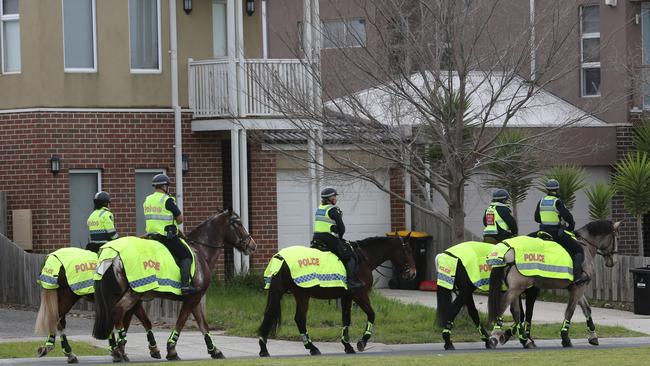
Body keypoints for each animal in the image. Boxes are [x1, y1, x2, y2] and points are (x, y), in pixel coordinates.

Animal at [93, 209, 256, 360]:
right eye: (238, 223)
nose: (252, 245)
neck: (201, 252)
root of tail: (114, 253)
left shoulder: (195, 299)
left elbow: (203, 324)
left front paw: (214, 350)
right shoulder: (192, 298)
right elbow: (181, 322)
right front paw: (171, 350)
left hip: (127, 294)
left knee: (118, 315)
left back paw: (118, 350)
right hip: (134, 293)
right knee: (118, 311)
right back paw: (119, 349)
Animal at [256, 234, 416, 358]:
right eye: (408, 250)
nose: (413, 273)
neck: (364, 259)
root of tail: (280, 257)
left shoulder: (346, 296)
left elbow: (346, 319)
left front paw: (348, 346)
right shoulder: (360, 294)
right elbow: (371, 314)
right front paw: (362, 342)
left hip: (279, 292)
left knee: (268, 315)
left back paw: (264, 349)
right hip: (302, 295)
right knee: (300, 319)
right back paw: (312, 348)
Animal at [486, 220, 616, 348]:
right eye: (615, 237)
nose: (611, 262)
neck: (586, 247)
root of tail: (507, 250)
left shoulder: (575, 287)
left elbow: (586, 309)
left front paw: (593, 336)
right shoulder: (578, 287)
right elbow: (570, 311)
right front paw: (565, 338)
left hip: (515, 289)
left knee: (516, 312)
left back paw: (521, 339)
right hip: (517, 288)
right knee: (505, 308)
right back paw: (499, 337)